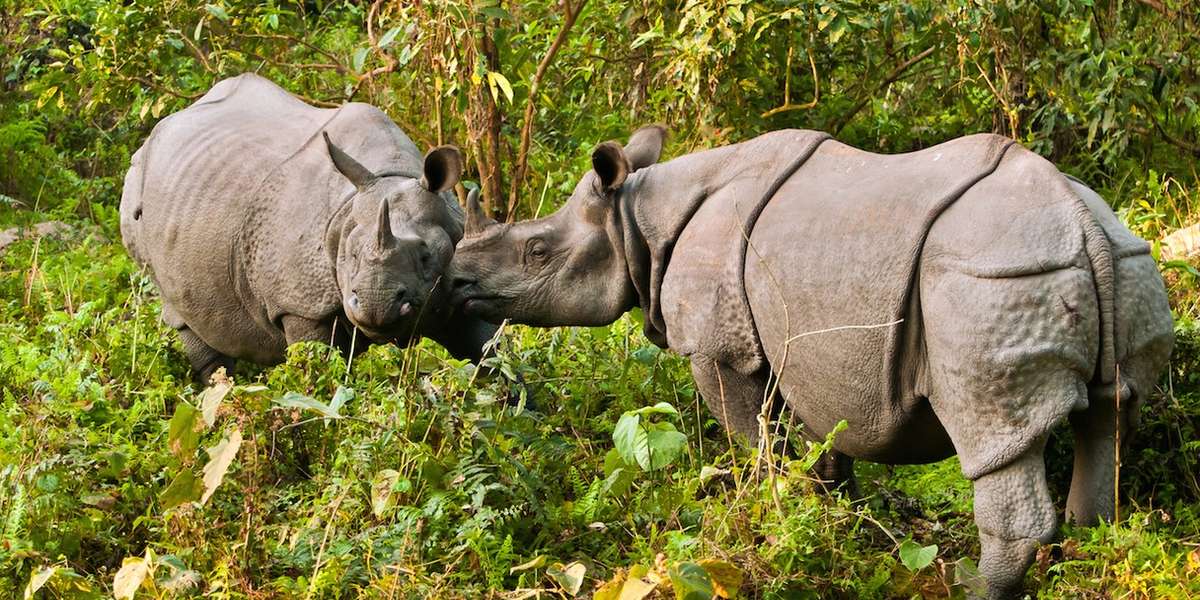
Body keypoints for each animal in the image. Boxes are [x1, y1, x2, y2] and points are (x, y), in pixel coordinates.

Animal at [120, 73, 496, 382]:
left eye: (426, 257)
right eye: (350, 257)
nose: (375, 304)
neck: (392, 173)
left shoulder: (456, 283)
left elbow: (488, 351)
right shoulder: (301, 305)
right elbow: (320, 374)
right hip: (136, 196)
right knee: (183, 319)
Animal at [448, 126, 1174, 598]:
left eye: (537, 252)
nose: (455, 283)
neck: (637, 219)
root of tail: (1081, 220)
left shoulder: (720, 349)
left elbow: (757, 440)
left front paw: (778, 519)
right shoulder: (808, 354)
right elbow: (827, 447)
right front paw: (837, 527)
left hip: (991, 279)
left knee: (993, 435)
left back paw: (969, 585)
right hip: (1126, 263)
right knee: (1112, 415)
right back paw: (1088, 552)